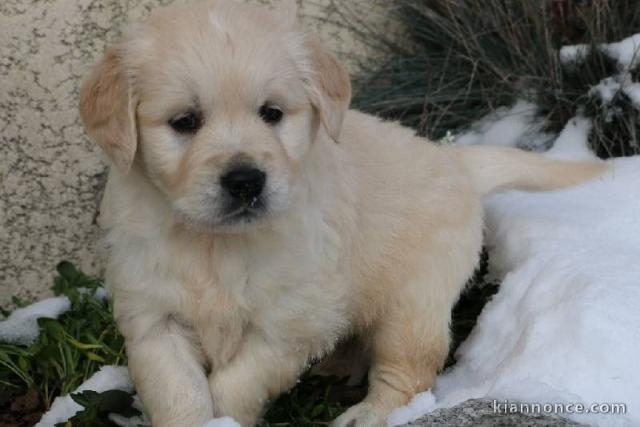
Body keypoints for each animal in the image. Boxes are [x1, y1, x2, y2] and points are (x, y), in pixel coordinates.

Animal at [79, 1, 604, 426]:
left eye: (272, 113)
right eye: (185, 122)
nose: (246, 181)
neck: (215, 243)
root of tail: (455, 162)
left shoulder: (292, 320)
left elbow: (237, 382)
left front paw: (227, 415)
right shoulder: (153, 317)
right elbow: (179, 392)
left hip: (413, 303)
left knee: (407, 372)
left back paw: (368, 414)